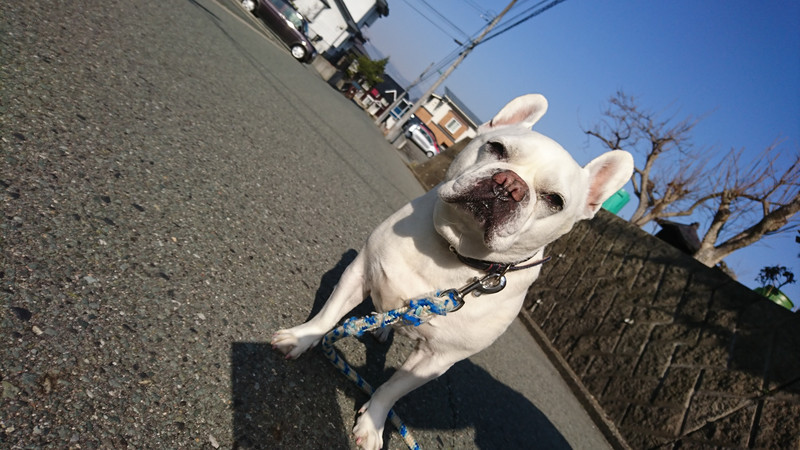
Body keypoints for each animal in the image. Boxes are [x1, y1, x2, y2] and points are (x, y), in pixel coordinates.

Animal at [272, 94, 633, 449]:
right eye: (496, 147)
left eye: (555, 200)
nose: (510, 185)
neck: (455, 251)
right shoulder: (360, 273)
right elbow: (328, 315)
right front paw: (302, 338)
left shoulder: (438, 359)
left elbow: (392, 389)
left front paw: (373, 423)